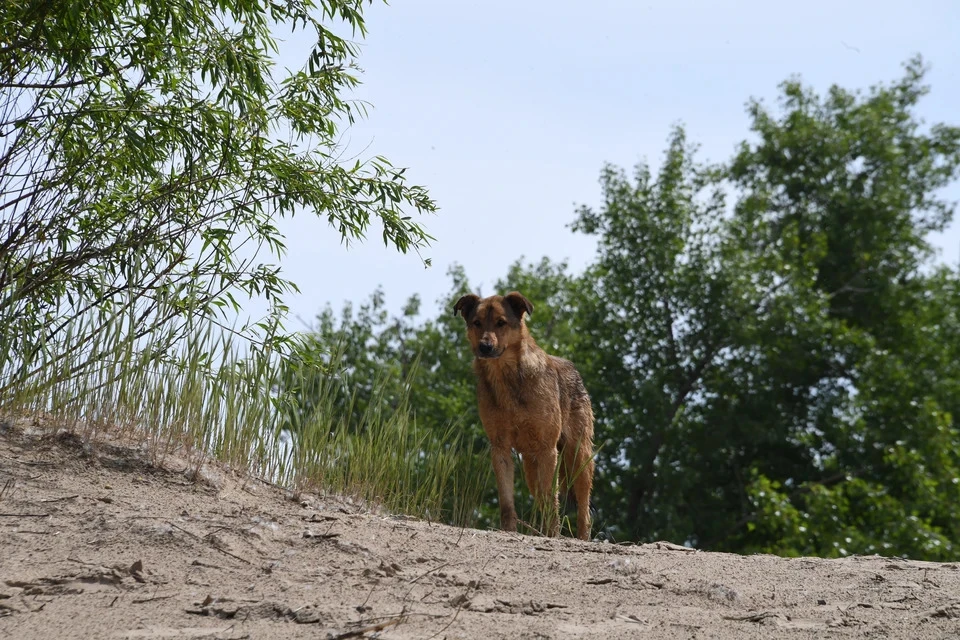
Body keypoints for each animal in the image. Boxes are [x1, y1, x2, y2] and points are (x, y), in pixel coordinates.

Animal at [452, 292, 592, 540]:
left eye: (501, 322)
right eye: (477, 323)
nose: (485, 347)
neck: (505, 378)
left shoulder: (548, 449)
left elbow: (551, 500)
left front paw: (552, 534)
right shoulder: (500, 448)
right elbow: (507, 502)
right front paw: (508, 531)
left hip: (578, 457)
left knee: (584, 509)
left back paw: (582, 538)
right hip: (530, 467)